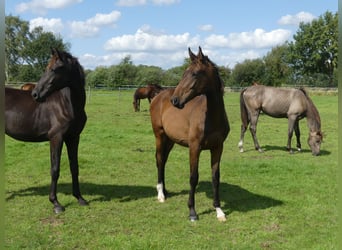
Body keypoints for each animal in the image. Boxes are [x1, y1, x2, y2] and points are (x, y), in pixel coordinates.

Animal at [5, 48, 88, 213]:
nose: (35, 94)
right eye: (47, 68)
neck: (67, 105)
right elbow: (55, 169)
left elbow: (74, 167)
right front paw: (56, 203)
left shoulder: (74, 138)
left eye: (55, 69)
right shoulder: (56, 138)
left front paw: (80, 198)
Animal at [150, 47, 228, 222]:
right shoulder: (194, 148)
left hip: (170, 140)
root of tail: (159, 95)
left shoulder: (218, 148)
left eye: (195, 73)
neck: (211, 118)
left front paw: (219, 210)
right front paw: (192, 212)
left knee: (163, 161)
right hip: (159, 136)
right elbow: (193, 177)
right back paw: (160, 194)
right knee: (159, 160)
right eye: (184, 72)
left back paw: (165, 191)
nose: (175, 100)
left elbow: (216, 177)